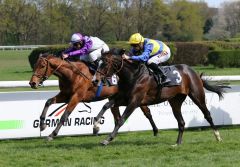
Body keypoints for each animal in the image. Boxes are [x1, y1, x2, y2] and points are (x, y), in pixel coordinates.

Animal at [28, 53, 159, 140]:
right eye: (34, 65)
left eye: (42, 65)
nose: (32, 83)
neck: (72, 74)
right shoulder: (65, 95)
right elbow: (48, 102)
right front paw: (42, 125)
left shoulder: (77, 97)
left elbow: (65, 115)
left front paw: (52, 134)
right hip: (115, 98)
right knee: (117, 117)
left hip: (135, 97)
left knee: (146, 112)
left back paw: (155, 131)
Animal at [93, 48, 230, 145]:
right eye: (97, 62)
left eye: (105, 63)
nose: (95, 80)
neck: (133, 75)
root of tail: (192, 71)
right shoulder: (123, 98)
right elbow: (106, 105)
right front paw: (96, 126)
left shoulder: (135, 101)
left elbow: (121, 119)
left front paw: (107, 139)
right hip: (175, 101)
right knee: (181, 122)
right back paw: (177, 143)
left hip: (197, 96)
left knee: (207, 114)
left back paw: (218, 136)